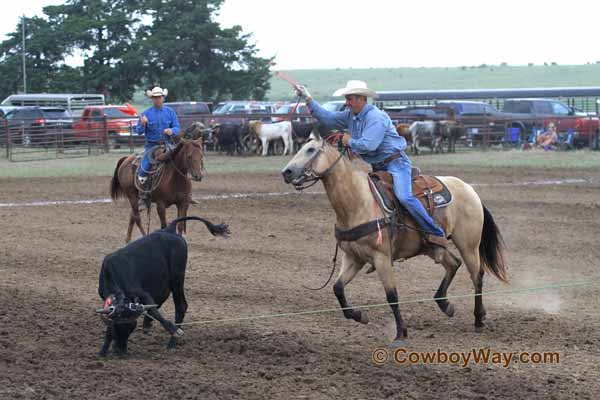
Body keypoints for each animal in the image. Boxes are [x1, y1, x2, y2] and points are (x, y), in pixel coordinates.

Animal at [282, 131, 506, 346]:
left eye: (311, 150)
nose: (286, 172)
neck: (358, 202)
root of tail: (469, 189)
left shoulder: (382, 258)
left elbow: (391, 296)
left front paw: (400, 333)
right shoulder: (353, 257)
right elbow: (337, 288)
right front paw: (359, 315)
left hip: (469, 245)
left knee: (477, 276)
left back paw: (478, 319)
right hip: (433, 247)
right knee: (454, 263)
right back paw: (445, 304)